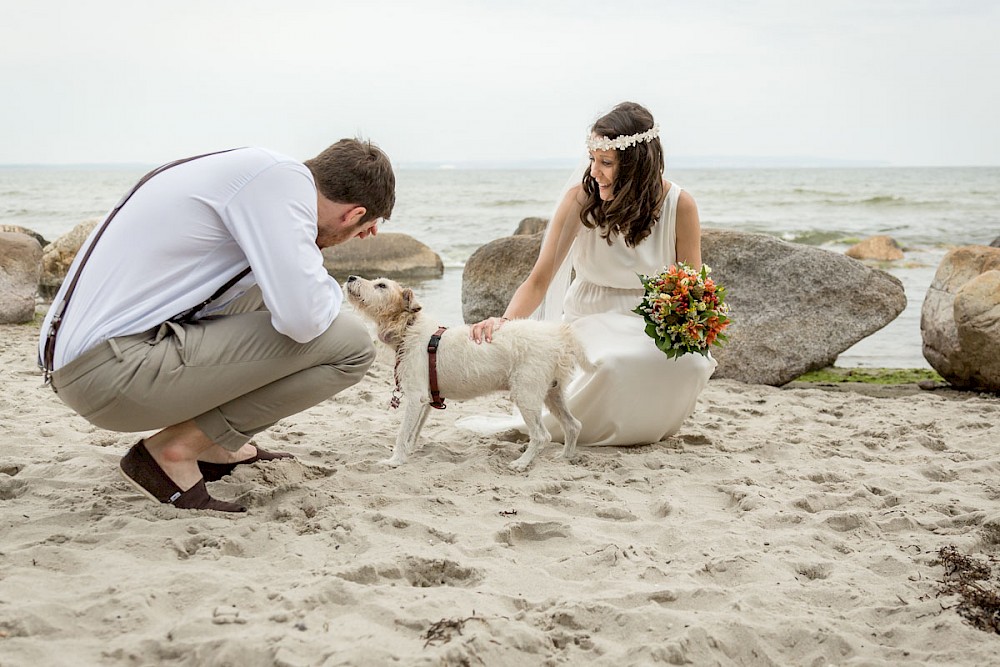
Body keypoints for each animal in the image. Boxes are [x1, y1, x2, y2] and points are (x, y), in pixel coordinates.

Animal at [346, 274, 592, 472]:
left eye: (381, 285)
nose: (350, 277)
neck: (408, 327)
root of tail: (560, 334)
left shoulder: (416, 397)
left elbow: (402, 432)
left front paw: (394, 460)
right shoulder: (426, 400)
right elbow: (412, 433)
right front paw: (406, 455)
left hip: (526, 395)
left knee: (542, 436)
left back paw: (521, 463)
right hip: (553, 392)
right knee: (574, 425)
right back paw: (564, 458)